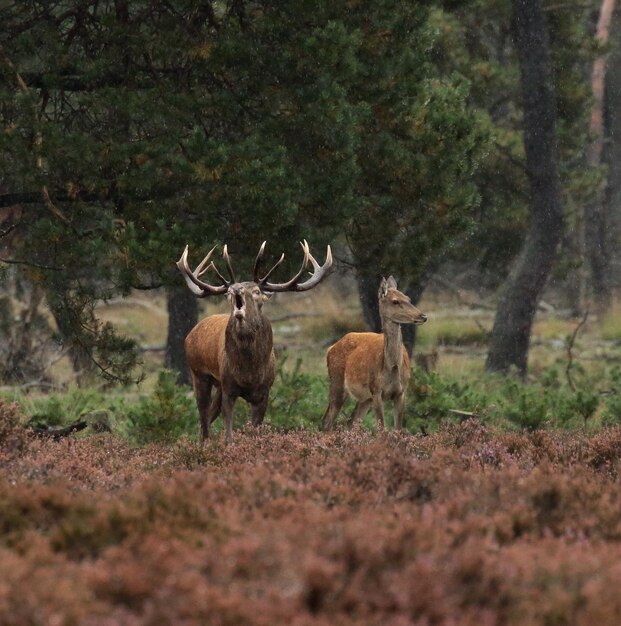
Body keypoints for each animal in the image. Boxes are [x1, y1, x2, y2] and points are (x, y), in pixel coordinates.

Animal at [177, 236, 332, 442]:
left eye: (257, 291)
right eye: (228, 292)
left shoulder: (264, 391)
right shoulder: (229, 387)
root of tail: (191, 333)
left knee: (207, 418)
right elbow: (228, 433)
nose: (236, 289)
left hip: (217, 386)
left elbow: (254, 429)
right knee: (203, 421)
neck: (249, 371)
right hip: (199, 374)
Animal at [320, 276, 426, 428]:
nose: (423, 316)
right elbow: (382, 429)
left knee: (351, 421)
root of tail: (330, 348)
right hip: (337, 383)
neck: (392, 368)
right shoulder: (376, 391)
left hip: (365, 398)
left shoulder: (402, 392)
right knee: (327, 420)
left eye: (408, 298)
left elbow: (398, 429)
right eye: (395, 301)